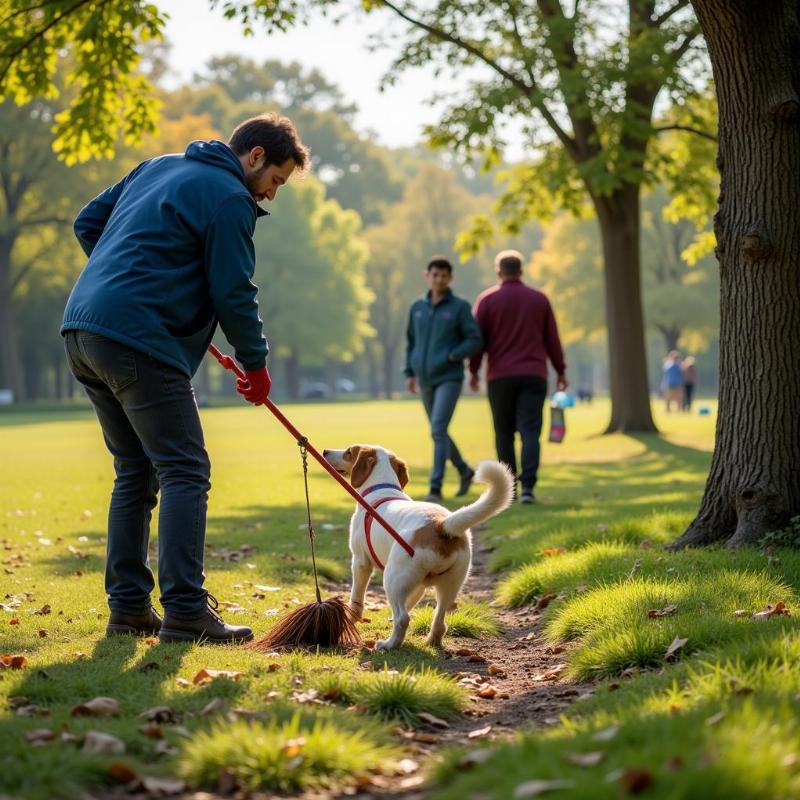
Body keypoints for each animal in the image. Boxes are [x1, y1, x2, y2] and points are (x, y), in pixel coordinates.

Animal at [320, 444, 512, 648]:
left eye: (349, 452)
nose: (324, 451)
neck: (382, 488)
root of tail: (441, 524)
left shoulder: (360, 562)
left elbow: (356, 599)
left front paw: (352, 618)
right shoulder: (418, 585)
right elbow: (410, 602)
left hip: (392, 579)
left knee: (403, 618)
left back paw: (389, 645)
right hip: (450, 585)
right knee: (439, 621)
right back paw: (432, 642)